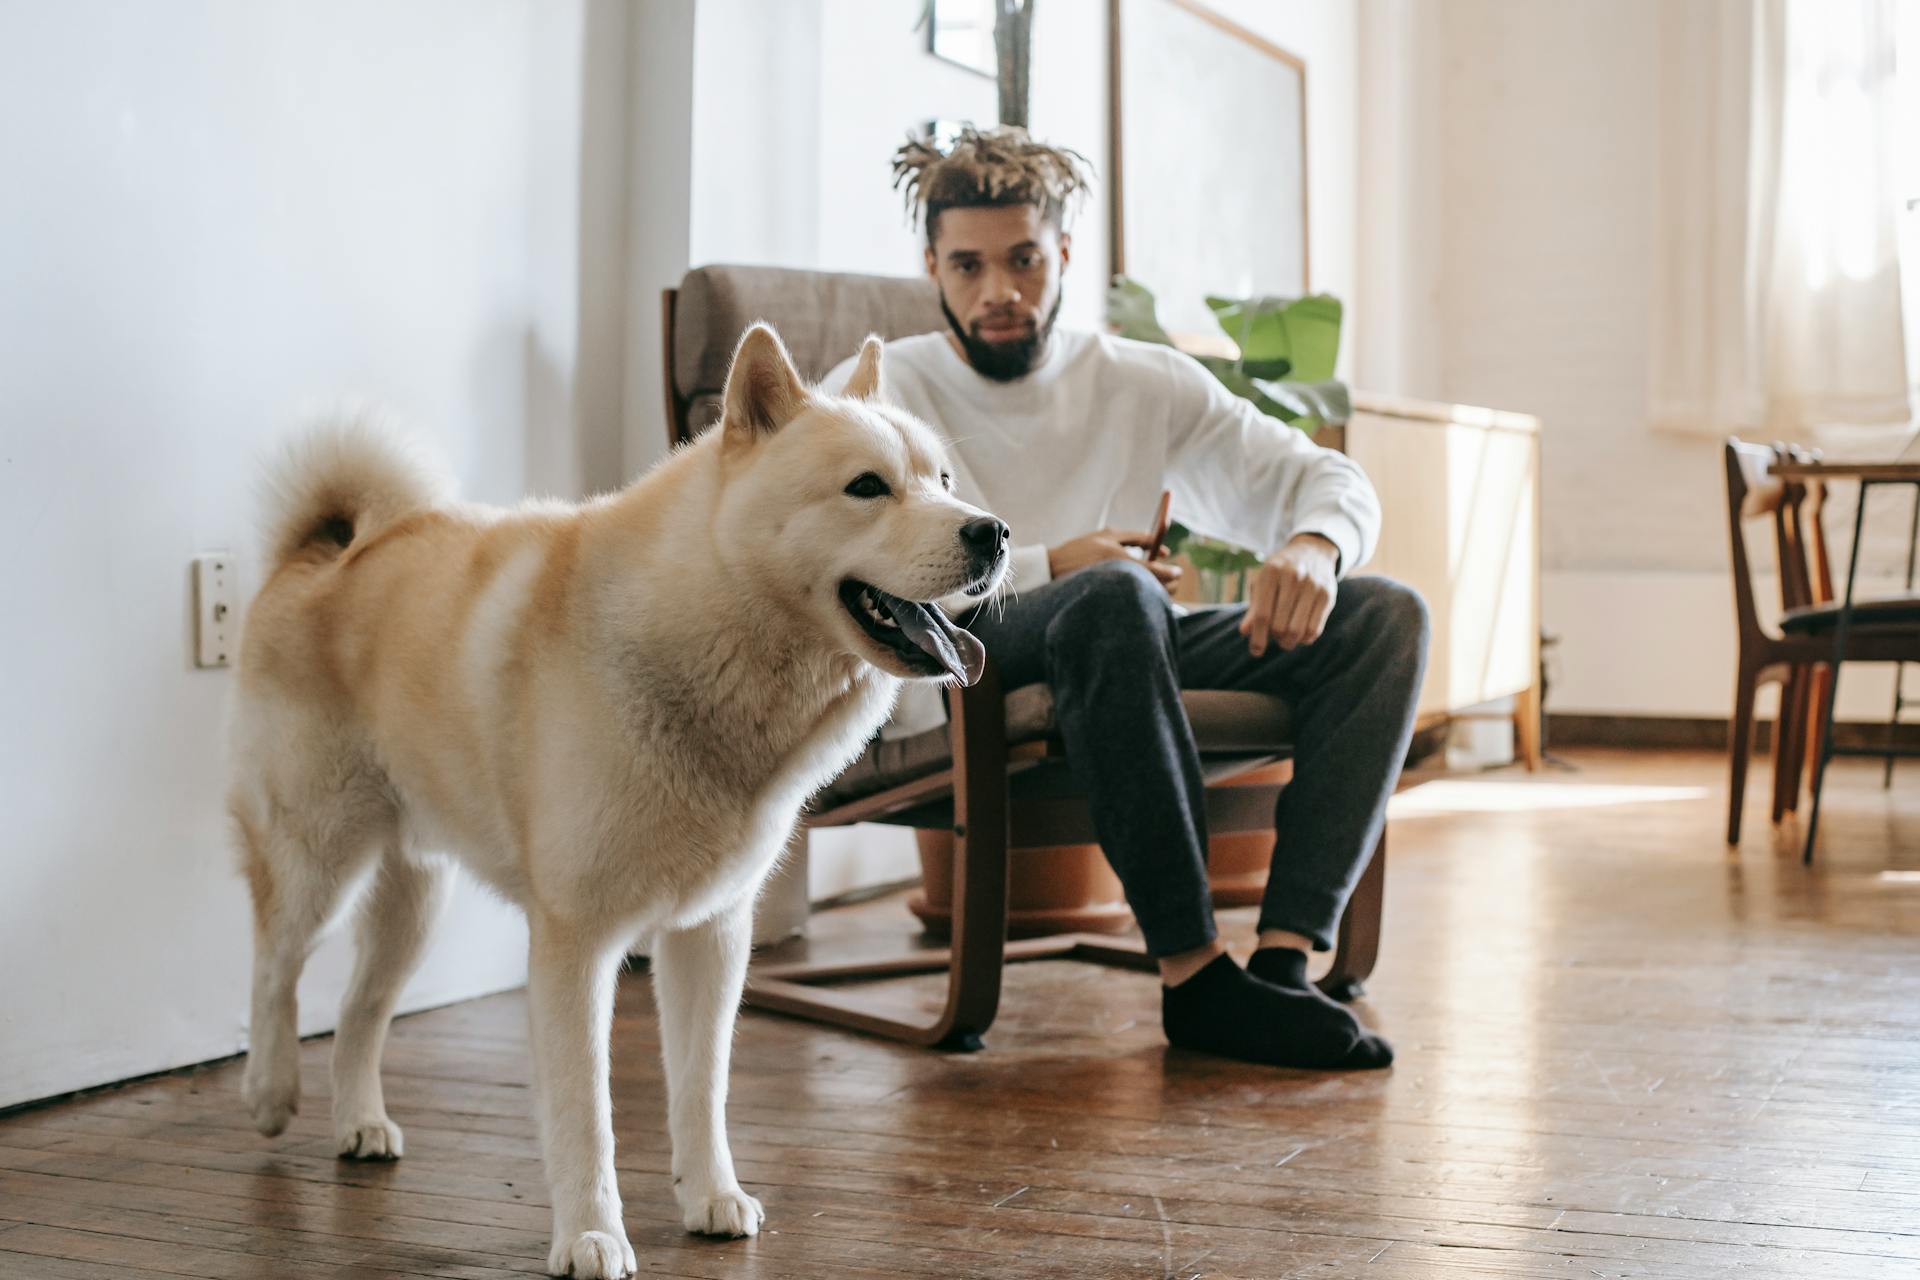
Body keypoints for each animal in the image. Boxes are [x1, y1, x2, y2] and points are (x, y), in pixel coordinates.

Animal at [232, 326, 1013, 1274]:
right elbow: (586, 1116)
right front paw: (591, 1235)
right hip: (317, 858)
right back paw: (269, 1092)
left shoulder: (710, 937)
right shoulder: (576, 946)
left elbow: (701, 1090)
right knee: (274, 964)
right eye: (868, 487)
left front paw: (711, 1196)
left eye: (943, 479)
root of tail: (325, 551)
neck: (704, 632)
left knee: (358, 1011)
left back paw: (360, 1122)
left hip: (415, 903)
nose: (993, 531)